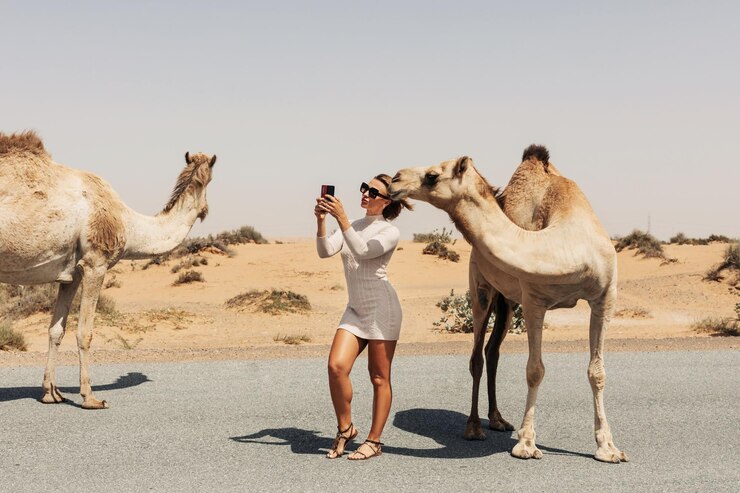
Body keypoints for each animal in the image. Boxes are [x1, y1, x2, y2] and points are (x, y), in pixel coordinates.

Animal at [0, 131, 215, 408]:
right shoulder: (96, 263)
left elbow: (56, 330)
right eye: (207, 180)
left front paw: (51, 393)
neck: (127, 222)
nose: (205, 210)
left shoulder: (70, 275)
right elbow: (85, 333)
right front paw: (90, 397)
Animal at [390, 145, 628, 462]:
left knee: (492, 352)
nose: (394, 179)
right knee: (477, 357)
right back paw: (474, 427)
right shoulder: (534, 300)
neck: (569, 247)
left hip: (507, 303)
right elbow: (535, 370)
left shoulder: (604, 299)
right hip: (481, 289)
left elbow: (597, 372)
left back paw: (498, 419)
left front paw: (608, 447)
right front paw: (526, 444)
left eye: (432, 175)